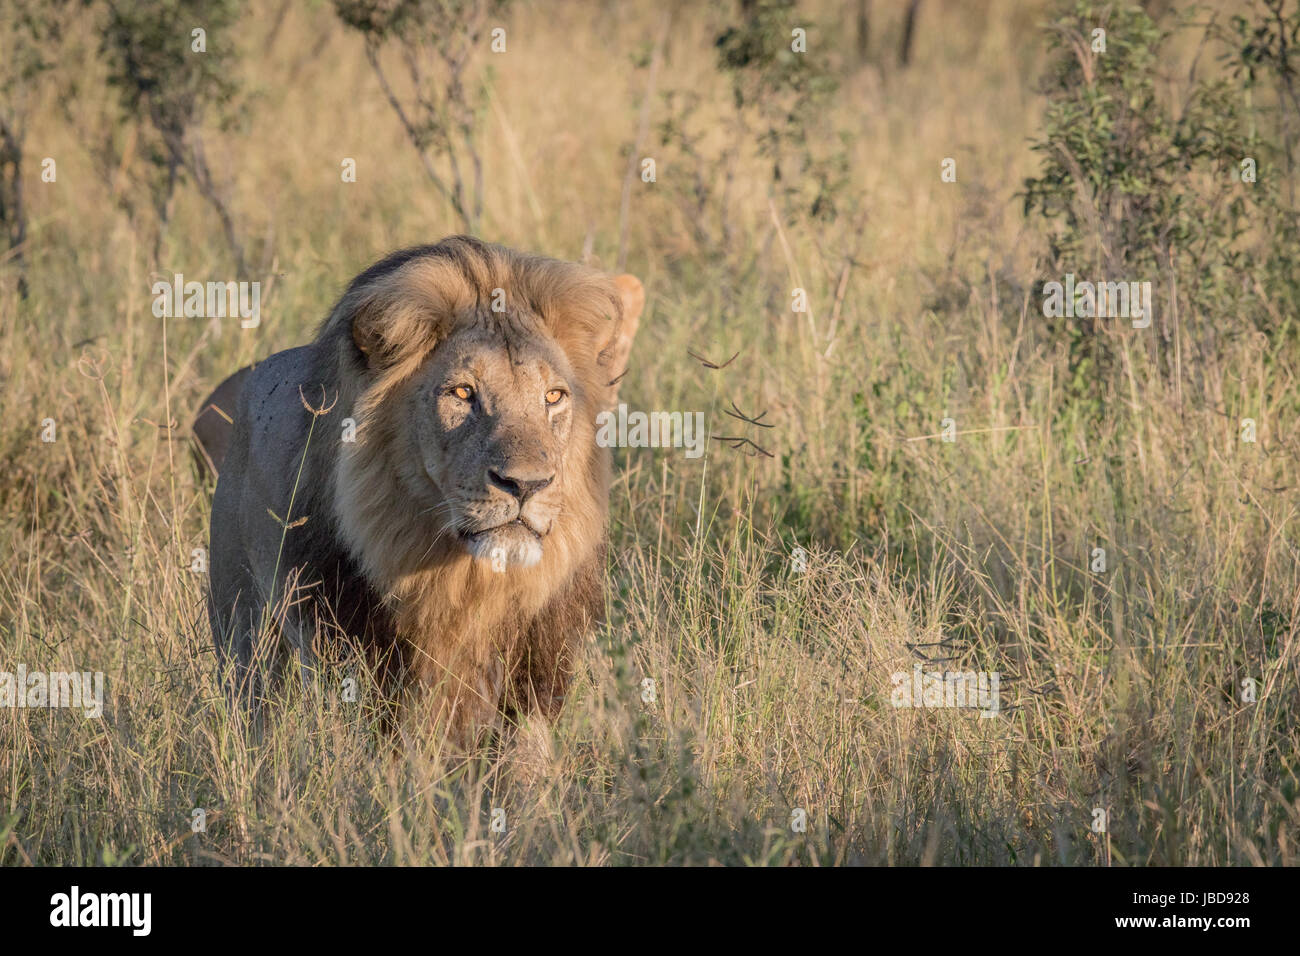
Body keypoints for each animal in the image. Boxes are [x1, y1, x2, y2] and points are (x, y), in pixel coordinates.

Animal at [200, 236, 644, 745]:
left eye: (553, 397)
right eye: (463, 393)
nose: (526, 484)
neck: (468, 582)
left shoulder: (537, 663)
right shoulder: (359, 654)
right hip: (243, 625)